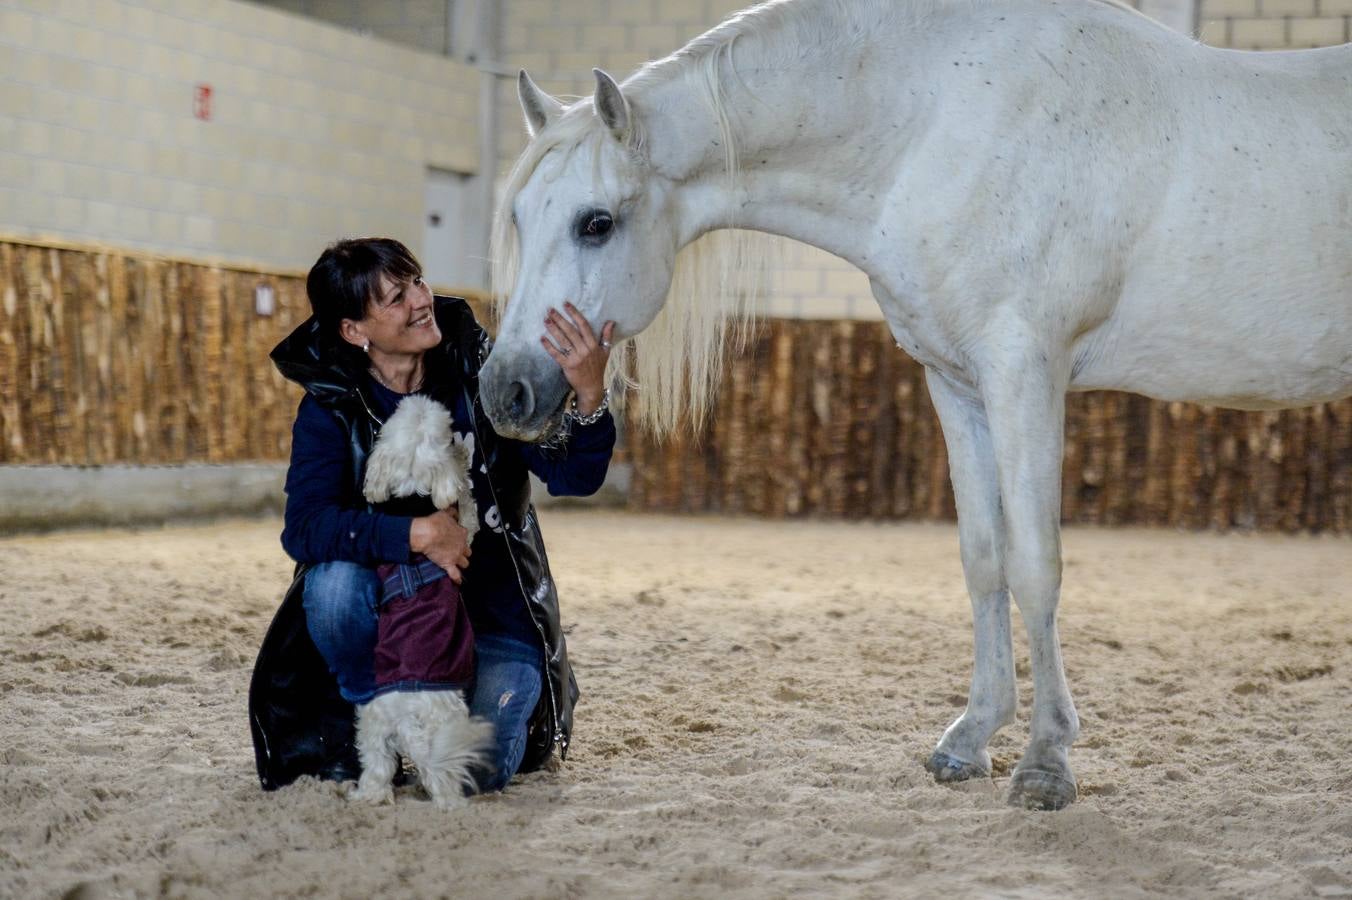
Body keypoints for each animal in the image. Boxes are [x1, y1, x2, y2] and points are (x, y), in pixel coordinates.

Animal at [348, 391, 497, 805]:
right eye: (447, 434)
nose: (460, 443)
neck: (411, 495)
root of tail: (404, 717)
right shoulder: (462, 532)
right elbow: (468, 515)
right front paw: (463, 484)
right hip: (445, 726)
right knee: (441, 780)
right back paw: (456, 803)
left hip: (372, 726)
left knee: (377, 768)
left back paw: (368, 795)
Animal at [478, 0, 1352, 810]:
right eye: (516, 217)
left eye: (596, 223)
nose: (502, 390)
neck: (942, 124)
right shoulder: (957, 383)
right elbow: (983, 558)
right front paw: (971, 739)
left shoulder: (1025, 373)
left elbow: (1036, 565)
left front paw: (1046, 762)